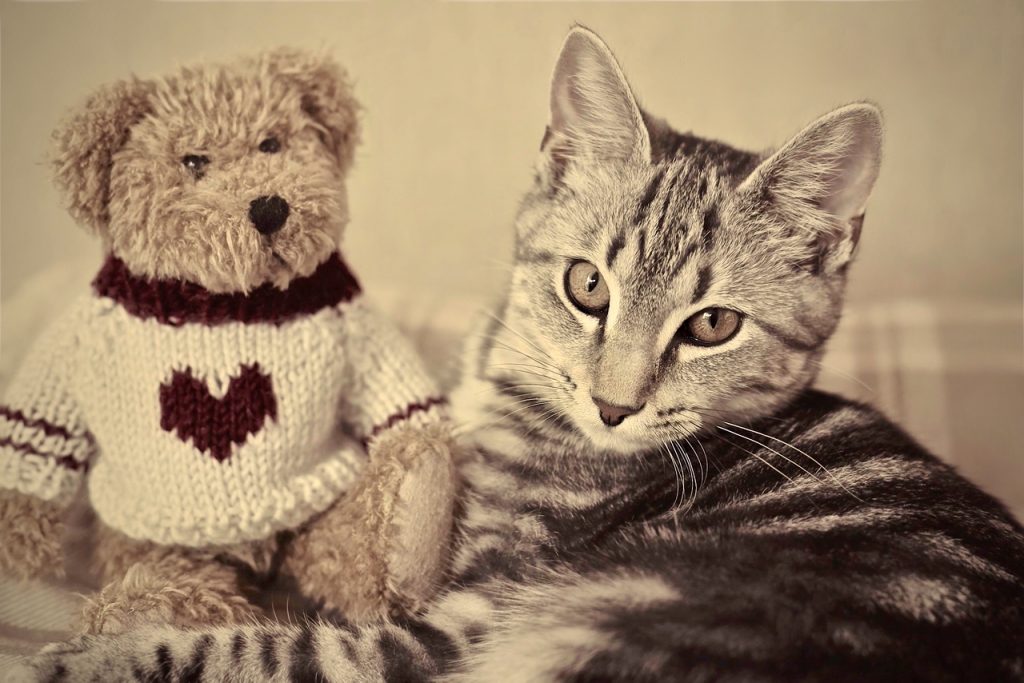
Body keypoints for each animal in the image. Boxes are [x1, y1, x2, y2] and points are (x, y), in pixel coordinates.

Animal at [24, 25, 1024, 683]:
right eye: (587, 286)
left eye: (711, 326)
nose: (615, 405)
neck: (507, 378)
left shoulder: (449, 627)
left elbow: (278, 646)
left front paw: (97, 652)